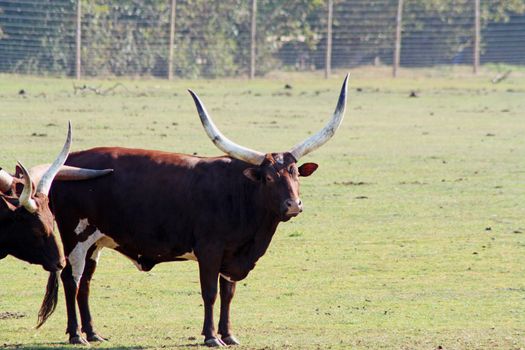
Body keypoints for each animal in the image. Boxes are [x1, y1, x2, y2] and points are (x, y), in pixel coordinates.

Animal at [49, 74, 350, 348]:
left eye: (295, 173)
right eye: (267, 177)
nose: (293, 205)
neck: (240, 193)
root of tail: (69, 163)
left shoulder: (232, 255)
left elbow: (228, 293)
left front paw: (229, 335)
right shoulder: (209, 250)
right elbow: (210, 292)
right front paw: (211, 337)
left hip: (95, 242)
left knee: (86, 283)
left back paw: (92, 333)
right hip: (74, 238)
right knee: (71, 280)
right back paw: (76, 335)